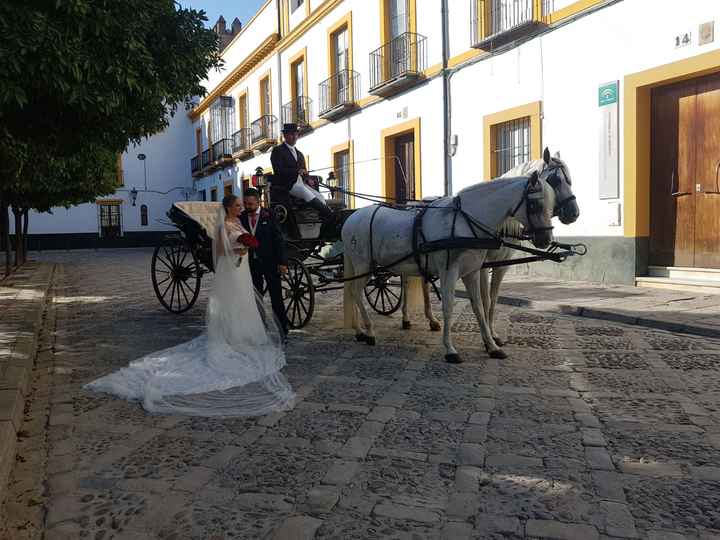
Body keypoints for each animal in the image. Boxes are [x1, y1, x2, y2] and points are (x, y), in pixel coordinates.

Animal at [344, 169, 556, 362]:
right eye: (535, 204)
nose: (546, 239)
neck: (465, 222)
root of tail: (351, 219)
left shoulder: (471, 272)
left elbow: (479, 306)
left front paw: (492, 346)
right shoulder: (449, 272)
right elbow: (448, 307)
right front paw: (450, 349)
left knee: (355, 291)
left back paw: (359, 330)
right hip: (363, 265)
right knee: (356, 292)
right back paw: (369, 332)